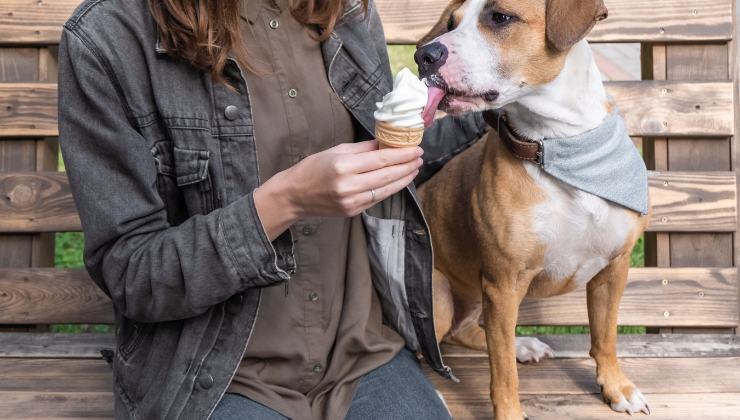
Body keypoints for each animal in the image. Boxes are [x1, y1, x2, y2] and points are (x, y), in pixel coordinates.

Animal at [416, 1, 652, 418]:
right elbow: (502, 372)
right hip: (440, 295)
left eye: (500, 17)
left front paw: (617, 387)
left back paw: (523, 345)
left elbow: (605, 335)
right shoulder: (503, 285)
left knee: (464, 332)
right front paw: (509, 411)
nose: (425, 55)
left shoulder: (614, 267)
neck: (557, 145)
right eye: (451, 23)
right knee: (422, 346)